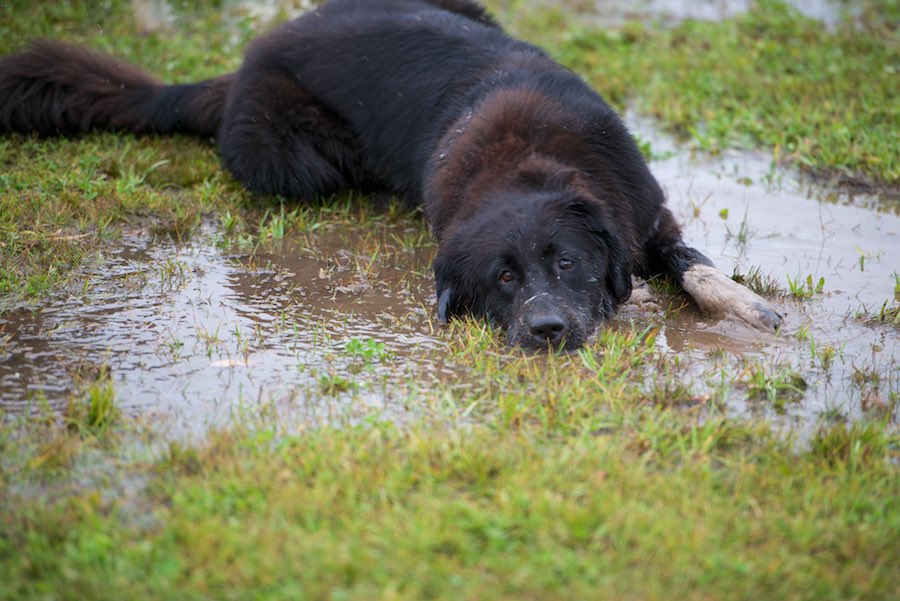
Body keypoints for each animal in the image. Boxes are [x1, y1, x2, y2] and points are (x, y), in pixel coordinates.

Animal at [0, 0, 780, 350]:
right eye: (502, 278)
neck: (526, 160)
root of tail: (246, 61)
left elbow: (693, 261)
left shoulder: (644, 209)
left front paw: (743, 304)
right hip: (296, 157)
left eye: (567, 261)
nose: (548, 329)